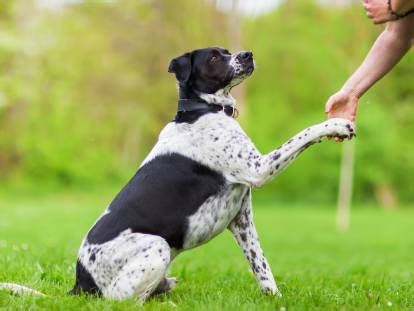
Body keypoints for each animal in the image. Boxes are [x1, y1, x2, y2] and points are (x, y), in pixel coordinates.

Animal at [0, 47, 356, 302]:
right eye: (214, 56)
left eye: (229, 51)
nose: (248, 54)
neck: (202, 111)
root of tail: (79, 285)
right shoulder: (258, 168)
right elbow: (304, 133)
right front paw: (336, 124)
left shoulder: (241, 219)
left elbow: (262, 267)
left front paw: (275, 298)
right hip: (156, 247)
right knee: (122, 301)